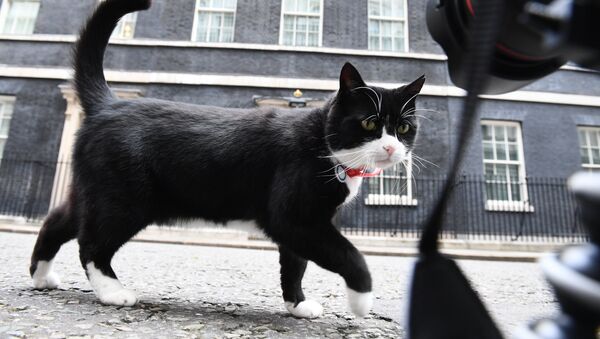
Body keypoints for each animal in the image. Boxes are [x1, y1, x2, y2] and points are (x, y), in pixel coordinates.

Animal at [28, 0, 424, 320]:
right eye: (370, 123)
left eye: (404, 127)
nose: (392, 148)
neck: (324, 147)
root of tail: (108, 103)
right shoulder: (294, 218)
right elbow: (348, 254)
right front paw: (361, 300)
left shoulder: (302, 226)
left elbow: (295, 264)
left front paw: (297, 305)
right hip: (124, 200)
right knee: (91, 243)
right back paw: (112, 291)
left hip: (94, 191)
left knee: (57, 222)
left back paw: (42, 276)